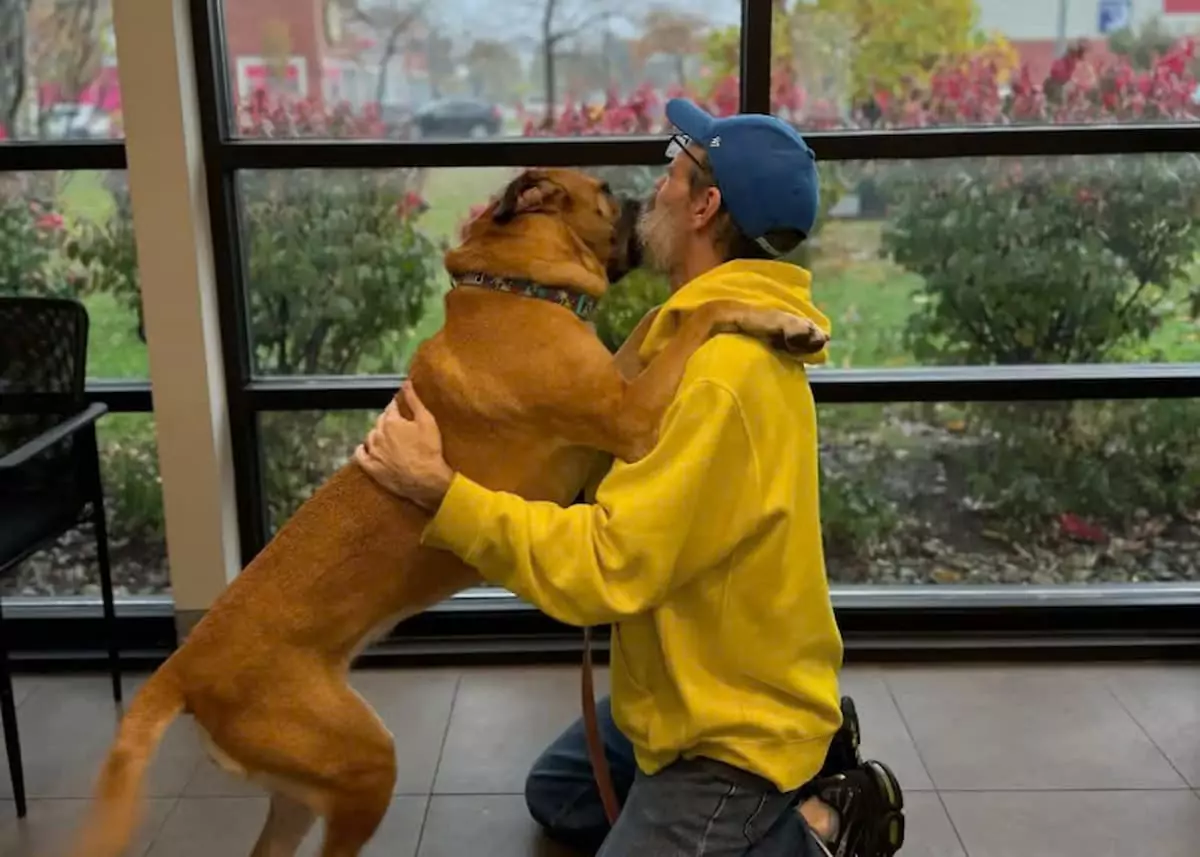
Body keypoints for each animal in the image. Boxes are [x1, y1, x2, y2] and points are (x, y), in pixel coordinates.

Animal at [70, 168, 825, 854]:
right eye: (609, 192)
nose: (650, 194)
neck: (514, 287)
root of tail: (184, 665)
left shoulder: (620, 380)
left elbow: (652, 322)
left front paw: (777, 320)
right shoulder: (633, 416)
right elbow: (695, 314)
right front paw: (772, 316)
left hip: (299, 790)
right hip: (364, 764)